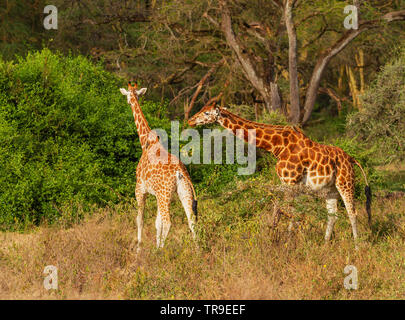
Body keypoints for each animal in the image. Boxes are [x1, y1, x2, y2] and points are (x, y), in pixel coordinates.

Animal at [119, 82, 196, 250]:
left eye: (128, 96)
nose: (129, 102)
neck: (145, 142)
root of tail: (180, 172)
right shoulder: (156, 194)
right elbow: (156, 223)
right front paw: (155, 245)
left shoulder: (140, 189)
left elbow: (140, 219)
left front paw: (139, 248)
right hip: (182, 192)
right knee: (192, 221)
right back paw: (198, 250)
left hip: (164, 194)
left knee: (168, 222)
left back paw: (160, 252)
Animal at [188, 96, 370, 244]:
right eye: (201, 110)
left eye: (206, 113)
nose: (190, 121)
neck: (277, 146)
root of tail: (352, 159)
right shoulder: (287, 183)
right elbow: (286, 210)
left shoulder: (291, 182)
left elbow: (289, 211)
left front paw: (287, 243)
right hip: (330, 189)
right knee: (333, 215)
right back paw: (325, 244)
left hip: (345, 183)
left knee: (352, 212)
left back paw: (357, 246)